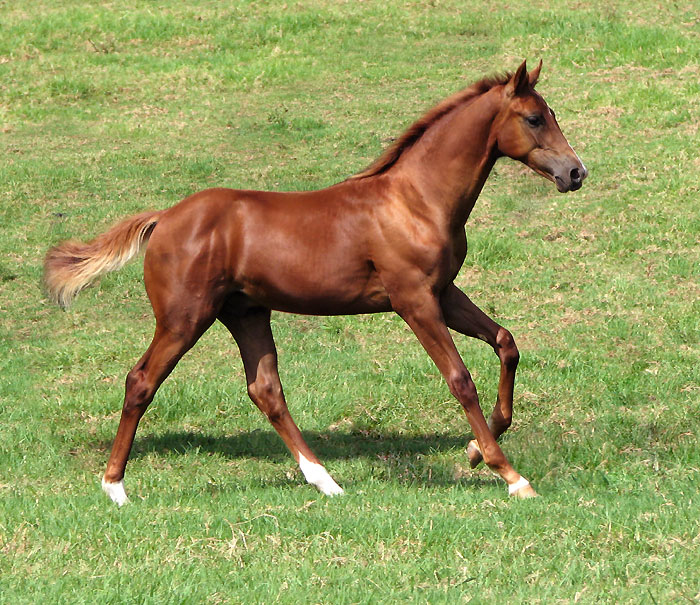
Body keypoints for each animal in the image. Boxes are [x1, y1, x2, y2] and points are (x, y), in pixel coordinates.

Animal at [44, 61, 586, 505]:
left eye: (551, 112)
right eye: (534, 119)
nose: (576, 172)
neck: (415, 199)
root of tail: (164, 219)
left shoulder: (444, 293)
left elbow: (506, 343)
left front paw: (476, 448)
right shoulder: (415, 301)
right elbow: (460, 379)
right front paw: (510, 475)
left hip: (245, 313)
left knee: (265, 390)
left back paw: (326, 481)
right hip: (183, 319)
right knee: (142, 382)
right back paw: (115, 487)